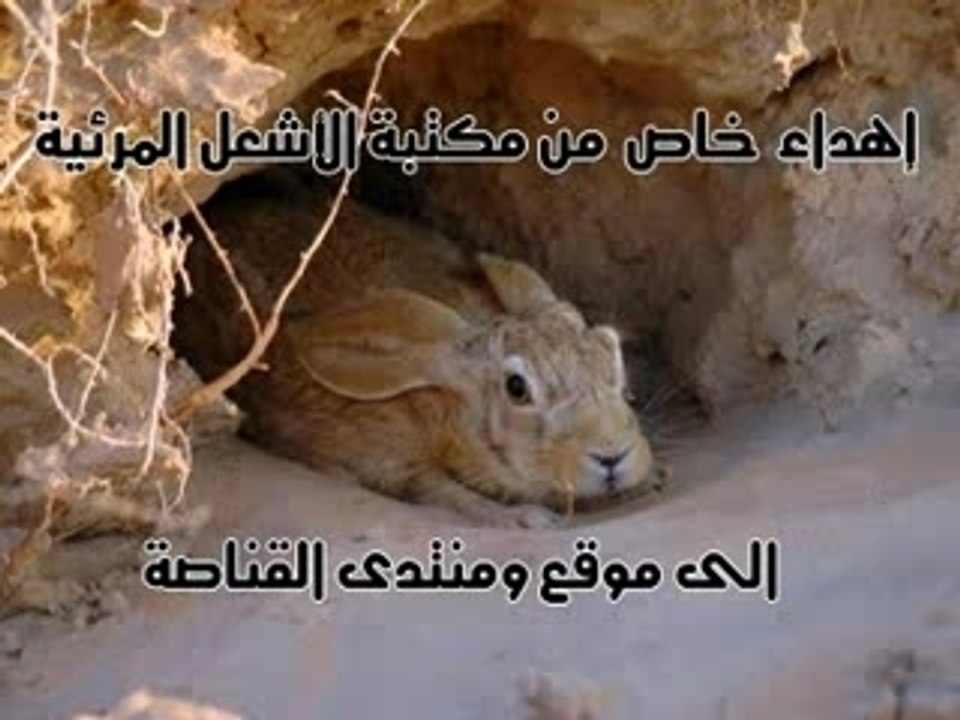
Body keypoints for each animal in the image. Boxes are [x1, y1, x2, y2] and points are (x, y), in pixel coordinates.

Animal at [174, 172, 657, 528]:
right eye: (517, 389)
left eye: (610, 353)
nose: (613, 454)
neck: (436, 401)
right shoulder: (387, 461)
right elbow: (442, 492)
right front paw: (527, 519)